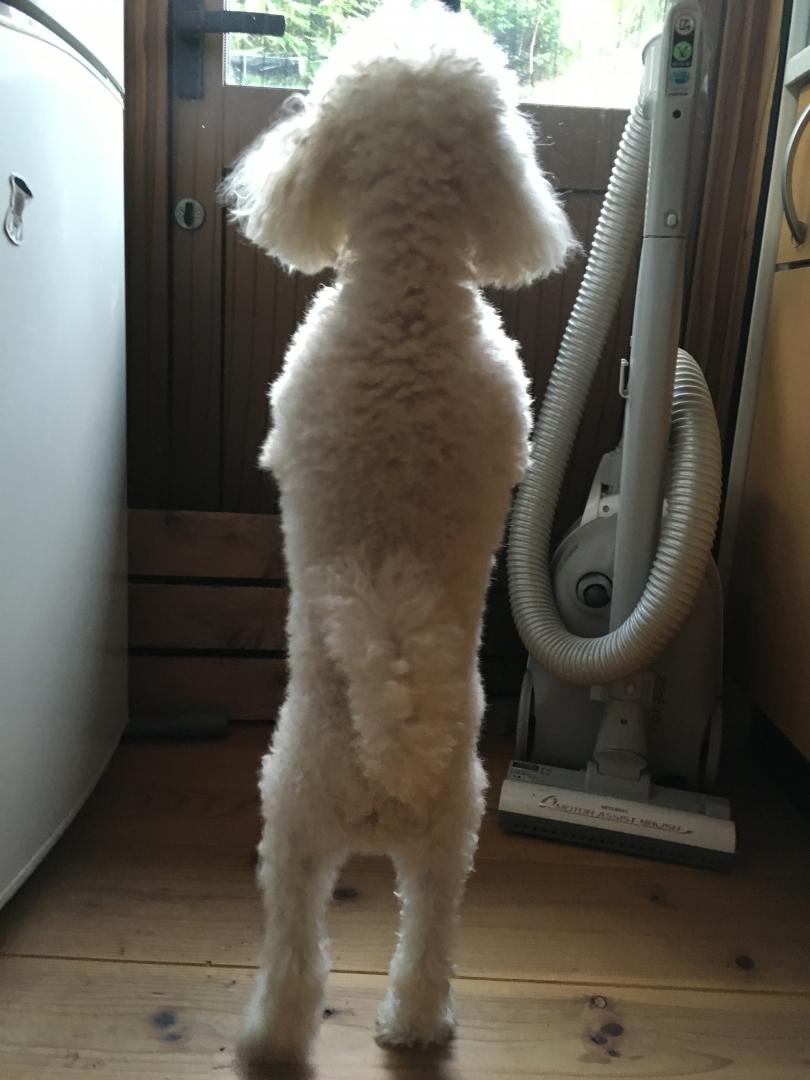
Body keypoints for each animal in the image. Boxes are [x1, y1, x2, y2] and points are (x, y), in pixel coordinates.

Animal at [222, 0, 575, 1071]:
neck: (408, 300)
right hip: (451, 836)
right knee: (428, 940)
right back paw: (416, 1025)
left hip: (289, 819)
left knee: (296, 953)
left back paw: (268, 1038)